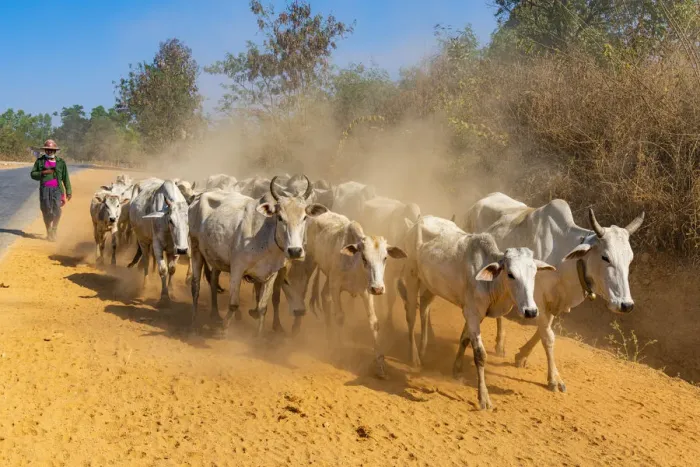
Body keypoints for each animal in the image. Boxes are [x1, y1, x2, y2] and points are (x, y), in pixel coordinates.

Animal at [188, 176, 328, 336]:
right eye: (280, 217)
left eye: (304, 217)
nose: (295, 251)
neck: (266, 239)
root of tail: (199, 196)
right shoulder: (237, 269)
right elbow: (233, 304)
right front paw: (224, 330)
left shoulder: (271, 274)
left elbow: (262, 307)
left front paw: (258, 337)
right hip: (195, 248)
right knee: (195, 286)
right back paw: (193, 322)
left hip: (216, 257)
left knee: (213, 280)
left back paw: (215, 314)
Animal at [304, 211, 407, 378]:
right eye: (364, 258)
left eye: (385, 258)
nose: (378, 289)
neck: (354, 266)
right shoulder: (336, 286)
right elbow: (340, 317)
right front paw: (340, 354)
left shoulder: (366, 292)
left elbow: (373, 322)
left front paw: (380, 365)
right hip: (311, 262)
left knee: (325, 297)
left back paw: (329, 339)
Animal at [399, 215, 555, 409]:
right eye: (510, 274)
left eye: (534, 274)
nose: (531, 311)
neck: (491, 283)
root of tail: (417, 221)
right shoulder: (472, 313)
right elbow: (480, 354)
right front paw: (484, 398)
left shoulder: (474, 314)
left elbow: (464, 339)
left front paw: (457, 370)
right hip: (412, 276)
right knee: (410, 314)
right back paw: (414, 357)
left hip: (431, 286)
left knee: (425, 307)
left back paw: (423, 349)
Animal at [462, 192, 644, 392]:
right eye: (605, 257)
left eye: (630, 259)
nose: (626, 305)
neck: (563, 259)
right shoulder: (537, 300)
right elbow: (548, 336)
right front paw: (554, 379)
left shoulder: (555, 304)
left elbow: (543, 331)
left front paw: (522, 356)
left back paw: (500, 344)